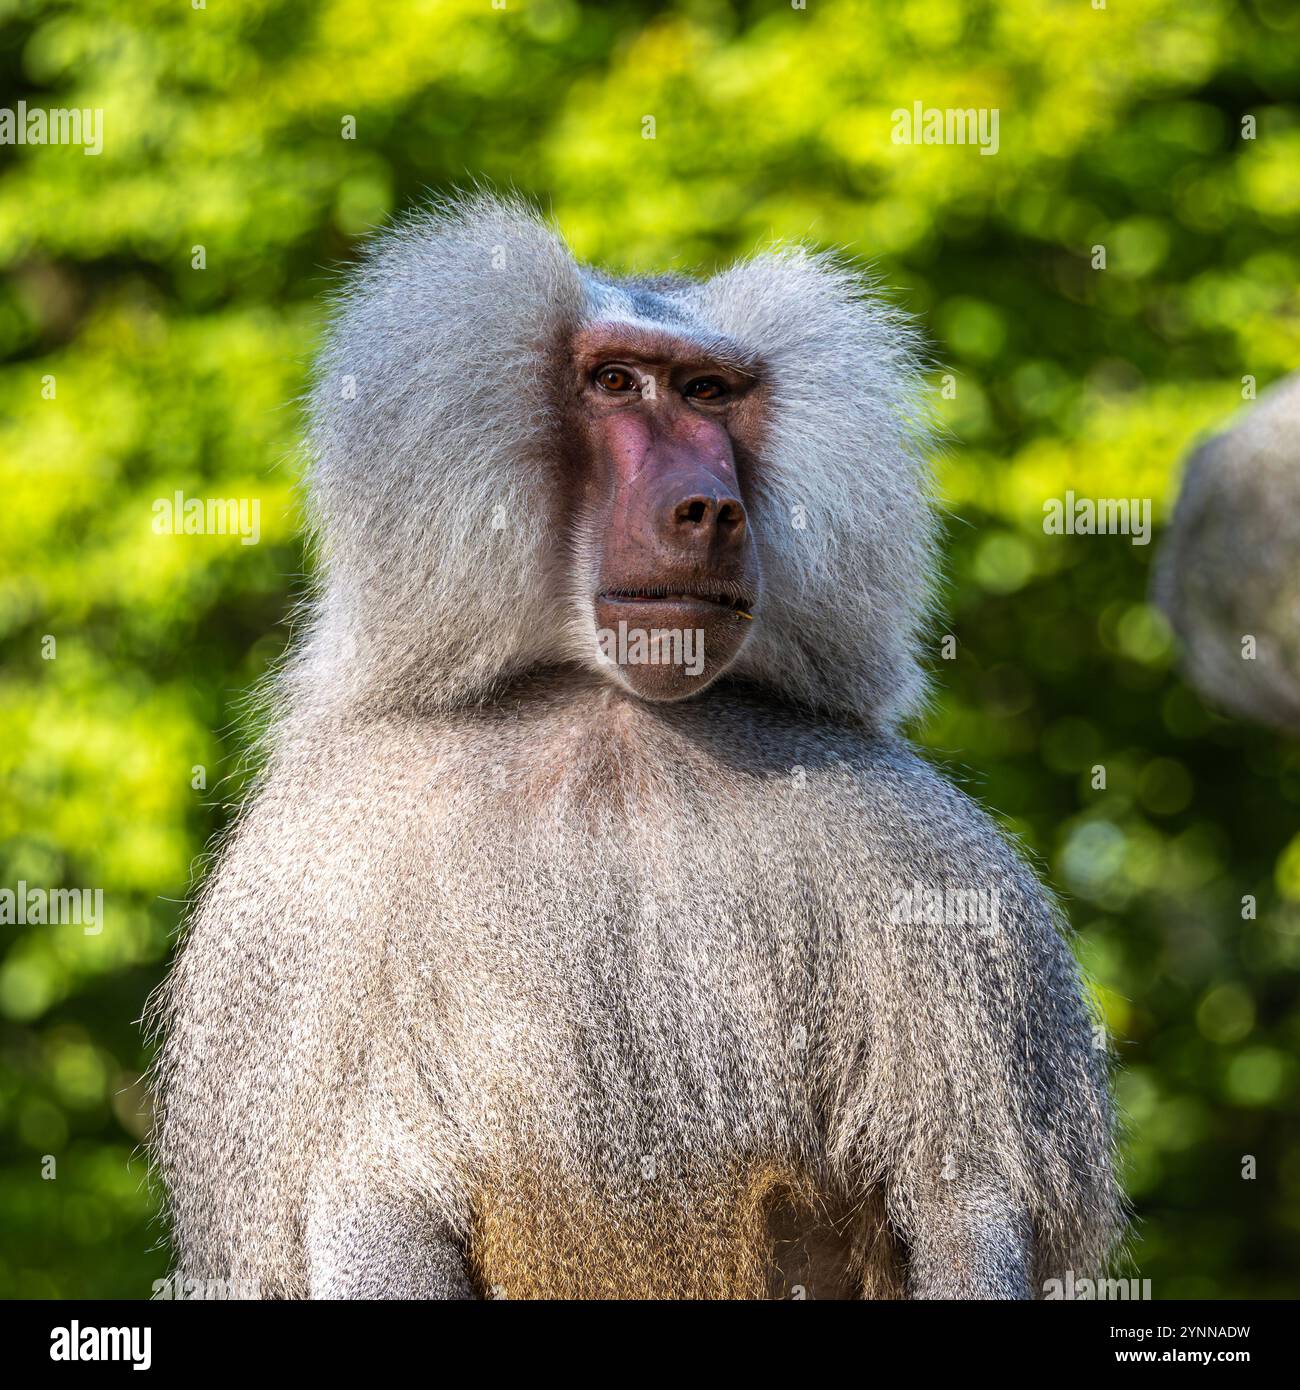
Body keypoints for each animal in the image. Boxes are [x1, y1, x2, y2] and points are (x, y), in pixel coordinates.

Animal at [149, 193, 1121, 1300]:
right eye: (616, 381)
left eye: (708, 391)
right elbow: (367, 1198)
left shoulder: (914, 855)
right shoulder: (319, 893)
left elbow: (964, 1198)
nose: (709, 507)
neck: (618, 722)